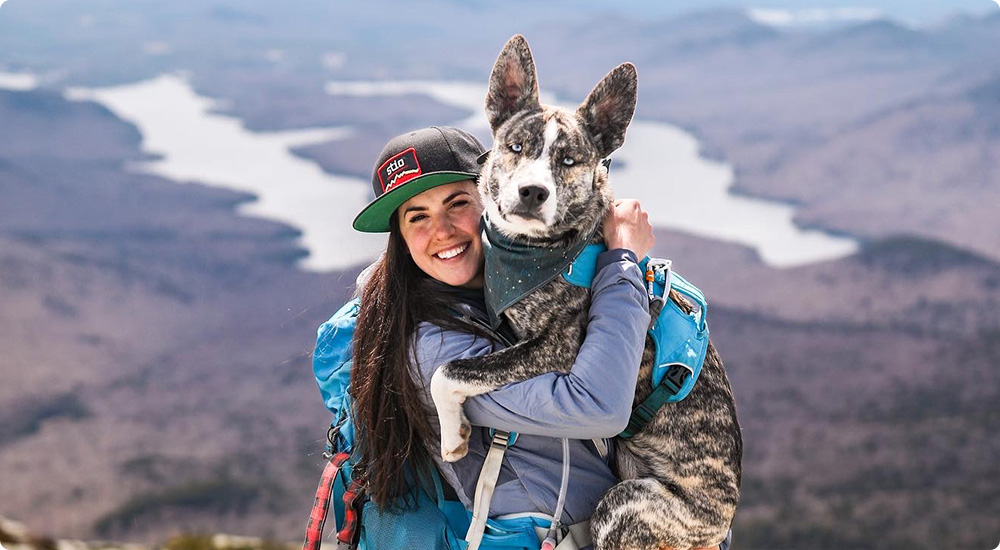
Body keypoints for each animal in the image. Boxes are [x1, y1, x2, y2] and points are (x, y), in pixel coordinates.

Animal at [426, 35, 740, 550]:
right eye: (516, 147)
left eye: (569, 161)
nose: (533, 192)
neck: (533, 253)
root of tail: (720, 522)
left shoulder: (558, 348)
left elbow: (450, 370)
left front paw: (453, 437)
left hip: (629, 504)